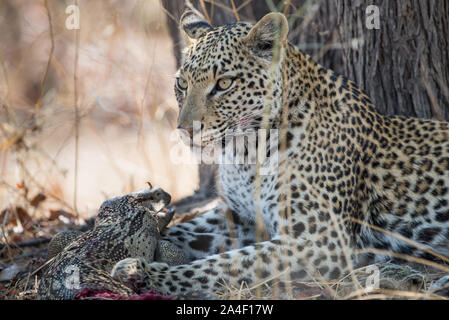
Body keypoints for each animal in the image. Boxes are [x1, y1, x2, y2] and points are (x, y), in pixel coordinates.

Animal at [110, 10, 448, 298]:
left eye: (224, 83)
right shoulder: (238, 216)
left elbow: (224, 265)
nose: (185, 129)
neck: (245, 153)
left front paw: (147, 273)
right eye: (182, 83)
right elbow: (185, 229)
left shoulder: (320, 241)